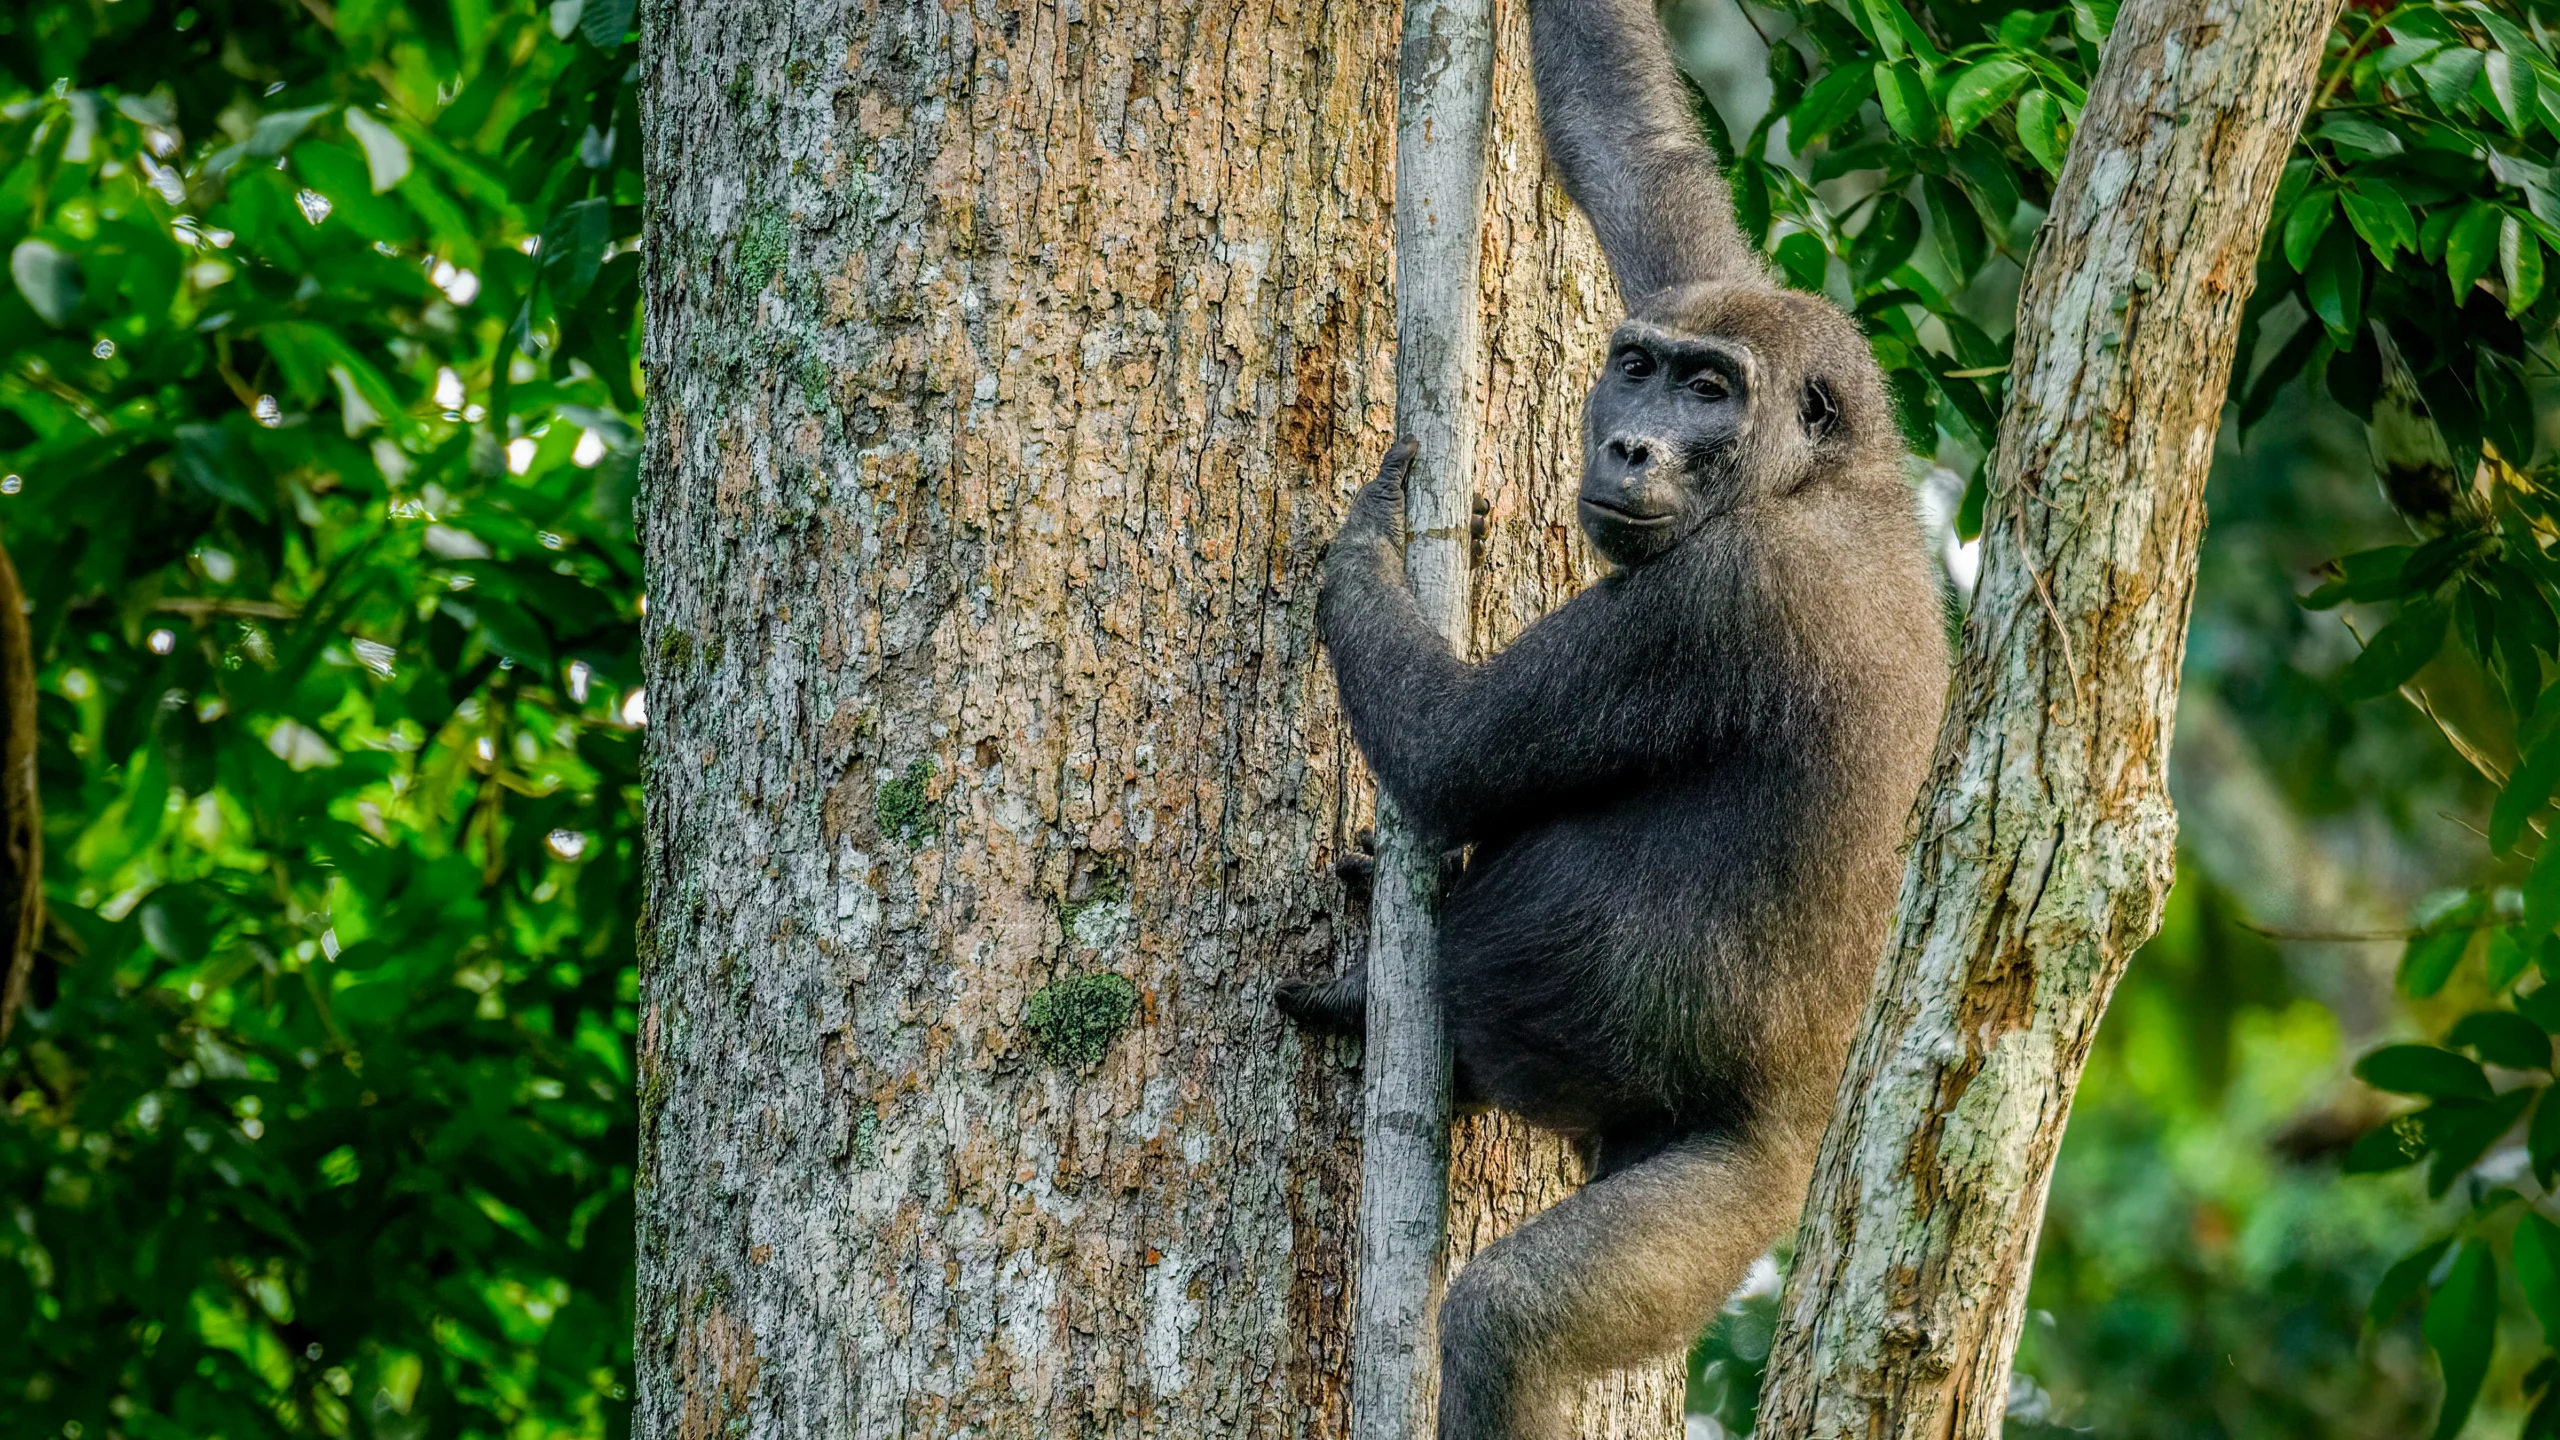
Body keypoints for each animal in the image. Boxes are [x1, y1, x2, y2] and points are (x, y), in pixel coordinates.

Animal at [1275, 1, 1952, 1434]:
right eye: (1639, 367)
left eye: (1708, 395)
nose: (1630, 445)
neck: (1826, 475)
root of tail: (1812, 1146)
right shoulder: (1724, 295)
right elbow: (1629, 150)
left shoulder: (1715, 597)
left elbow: (1451, 753)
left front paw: (1367, 542)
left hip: (1740, 1189)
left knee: (1517, 1320)